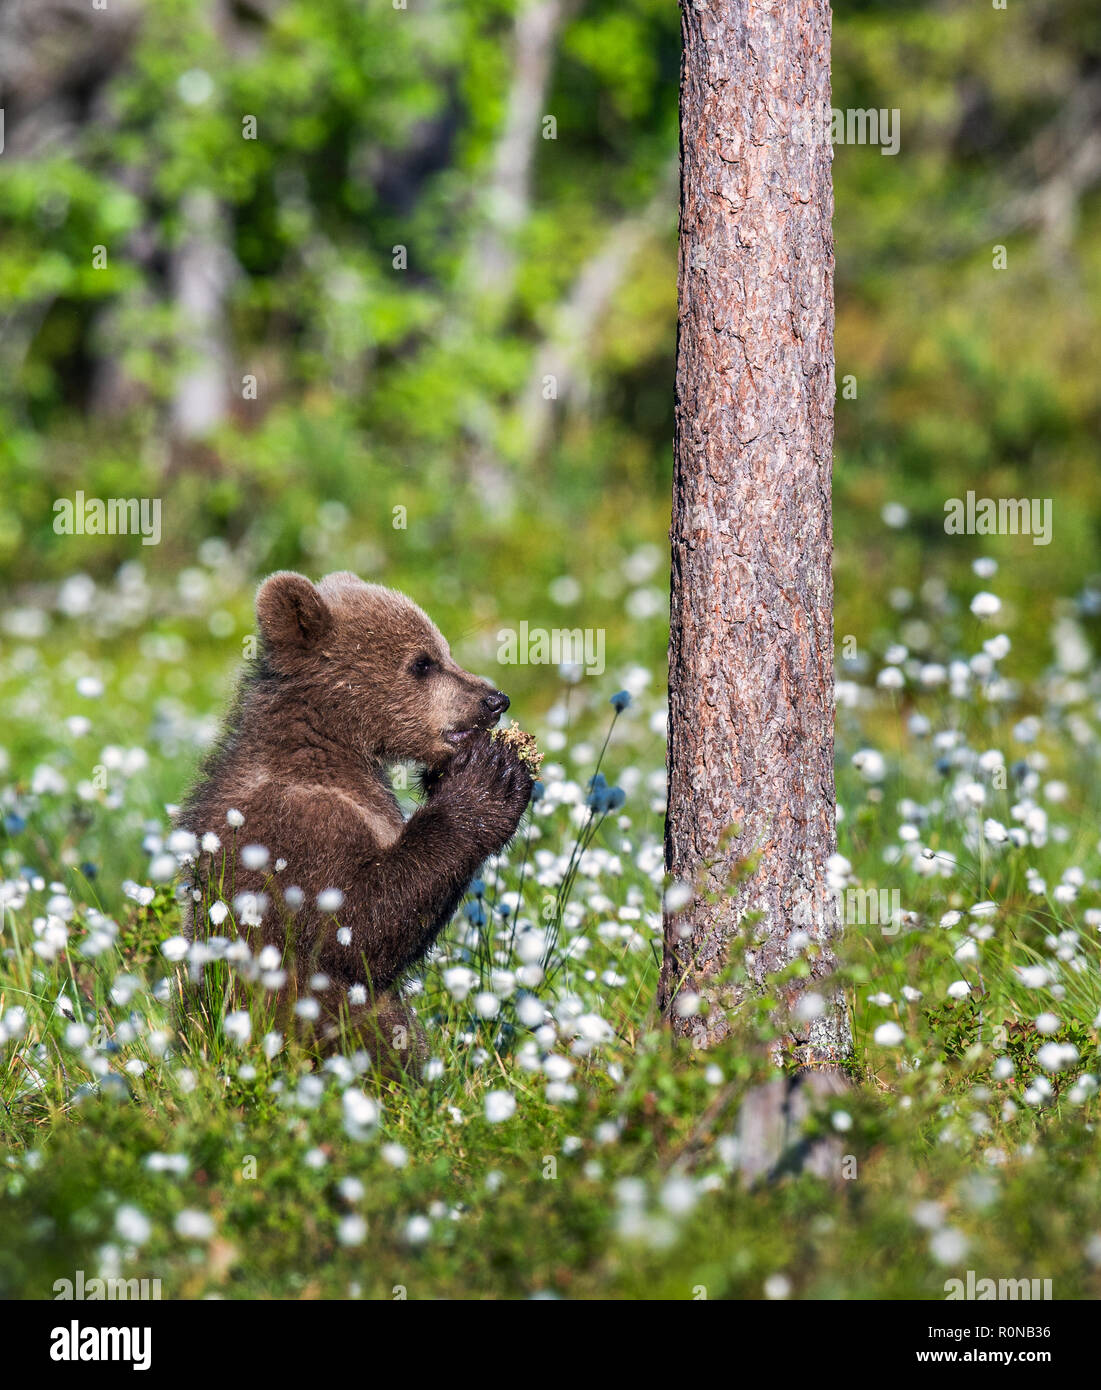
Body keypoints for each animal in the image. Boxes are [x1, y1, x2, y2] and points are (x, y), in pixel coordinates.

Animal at [177, 570, 534, 1074]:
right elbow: (356, 928)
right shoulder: (299, 830)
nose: (494, 699)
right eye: (422, 663)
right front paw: (489, 779)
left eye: (445, 651)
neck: (331, 749)